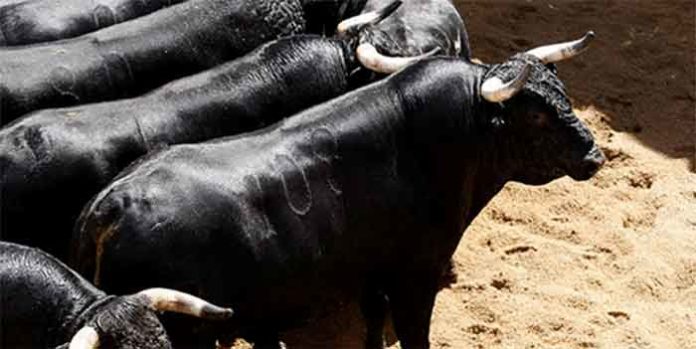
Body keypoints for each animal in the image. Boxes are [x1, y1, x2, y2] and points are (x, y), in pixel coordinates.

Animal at [70, 55, 604, 346]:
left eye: (564, 95)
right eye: (536, 116)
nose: (595, 155)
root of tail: (107, 208)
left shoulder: (370, 272)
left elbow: (371, 326)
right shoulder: (417, 275)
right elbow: (414, 334)